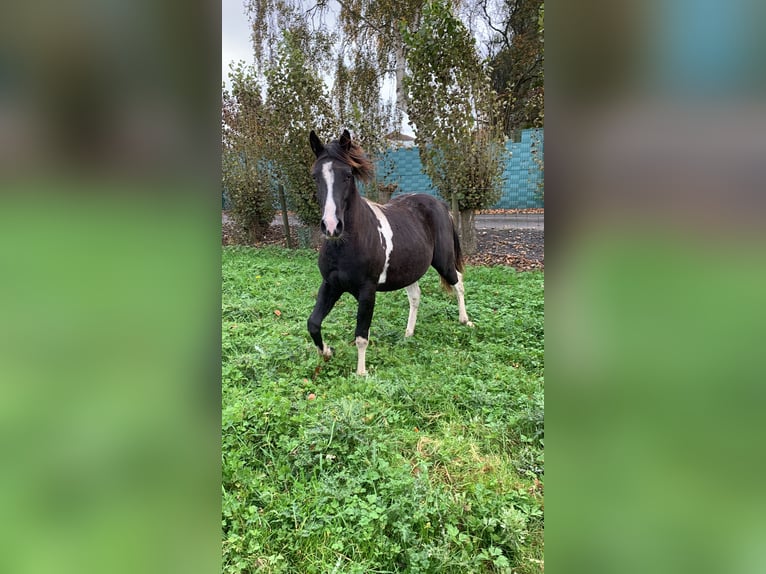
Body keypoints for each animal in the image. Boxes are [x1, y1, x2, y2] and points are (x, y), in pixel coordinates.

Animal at [308, 128, 474, 376]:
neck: (346, 245)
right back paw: (408, 334)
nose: (331, 226)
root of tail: (440, 205)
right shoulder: (331, 285)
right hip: (410, 270)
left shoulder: (367, 291)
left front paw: (361, 373)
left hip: (443, 262)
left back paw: (465, 321)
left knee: (458, 282)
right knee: (416, 297)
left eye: (347, 175)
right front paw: (328, 352)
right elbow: (313, 324)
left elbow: (361, 336)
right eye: (315, 176)